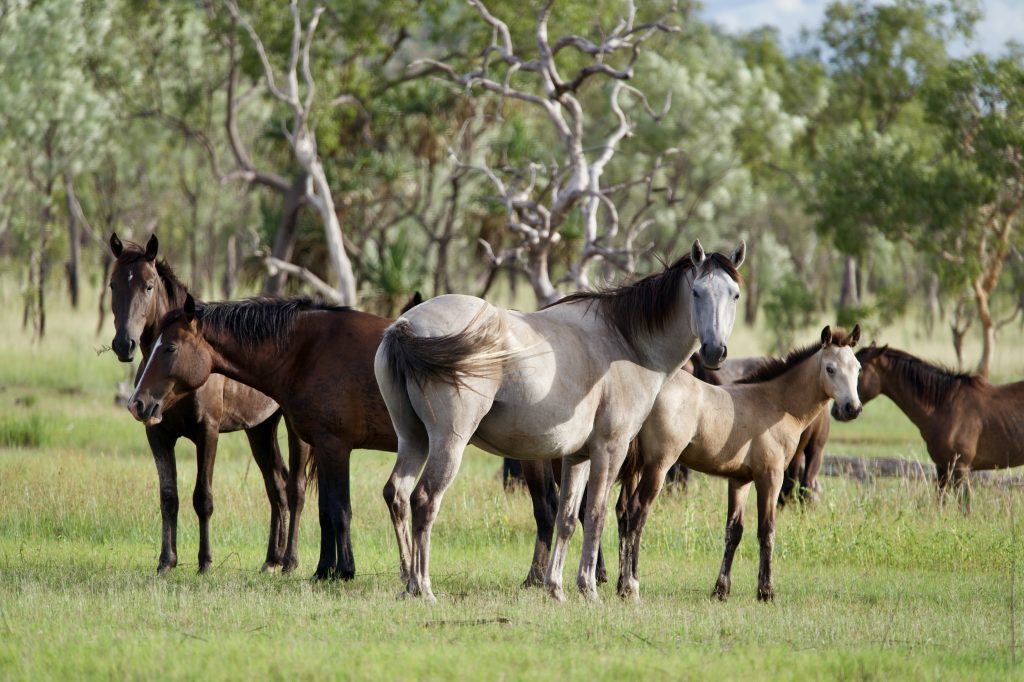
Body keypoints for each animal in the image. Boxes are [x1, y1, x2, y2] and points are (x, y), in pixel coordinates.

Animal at [109, 233, 307, 574]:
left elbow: (203, 497)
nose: (124, 344)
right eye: (112, 285)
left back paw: (290, 561)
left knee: (295, 487)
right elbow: (168, 497)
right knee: (276, 486)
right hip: (260, 428)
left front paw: (205, 562)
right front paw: (166, 561)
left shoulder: (208, 432)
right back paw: (272, 559)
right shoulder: (157, 434)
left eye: (148, 285)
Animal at [125, 292, 401, 580]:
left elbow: (340, 509)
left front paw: (345, 570)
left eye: (170, 348)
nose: (136, 403)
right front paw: (324, 570)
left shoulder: (334, 447)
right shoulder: (324, 446)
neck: (311, 351)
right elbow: (326, 511)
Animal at [375, 239, 746, 603]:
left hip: (414, 440)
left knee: (398, 495)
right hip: (449, 443)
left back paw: (408, 583)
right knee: (424, 500)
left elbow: (567, 518)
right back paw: (423, 587)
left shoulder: (577, 456)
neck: (624, 344)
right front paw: (590, 589)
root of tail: (405, 326)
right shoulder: (609, 450)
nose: (715, 351)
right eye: (696, 292)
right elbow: (595, 515)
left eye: (734, 295)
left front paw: (556, 588)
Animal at [856, 344, 1024, 513]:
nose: (849, 408)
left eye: (859, 369)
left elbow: (964, 507)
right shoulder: (942, 467)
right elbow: (940, 502)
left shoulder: (960, 468)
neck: (944, 406)